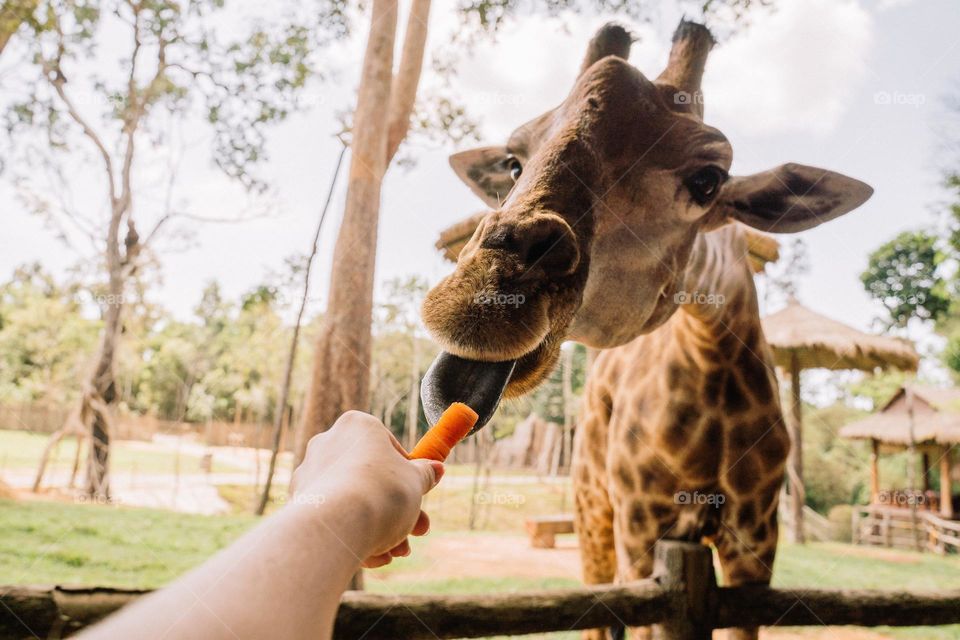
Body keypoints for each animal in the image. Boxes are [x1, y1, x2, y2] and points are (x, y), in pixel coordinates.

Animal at [419, 19, 873, 640]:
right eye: (514, 162)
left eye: (708, 180)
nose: (477, 302)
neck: (713, 360)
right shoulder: (640, 528)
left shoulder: (755, 545)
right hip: (592, 509)